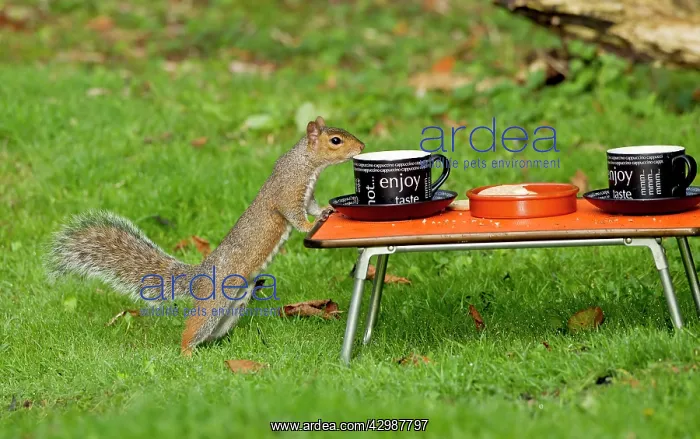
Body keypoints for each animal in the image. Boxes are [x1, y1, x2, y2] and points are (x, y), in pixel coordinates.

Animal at [46, 116, 365, 356]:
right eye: (335, 141)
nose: (362, 146)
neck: (305, 163)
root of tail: (198, 276)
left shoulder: (306, 195)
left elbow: (312, 206)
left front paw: (325, 210)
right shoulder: (287, 192)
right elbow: (294, 215)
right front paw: (309, 223)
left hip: (233, 306)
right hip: (213, 303)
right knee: (193, 328)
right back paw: (188, 353)